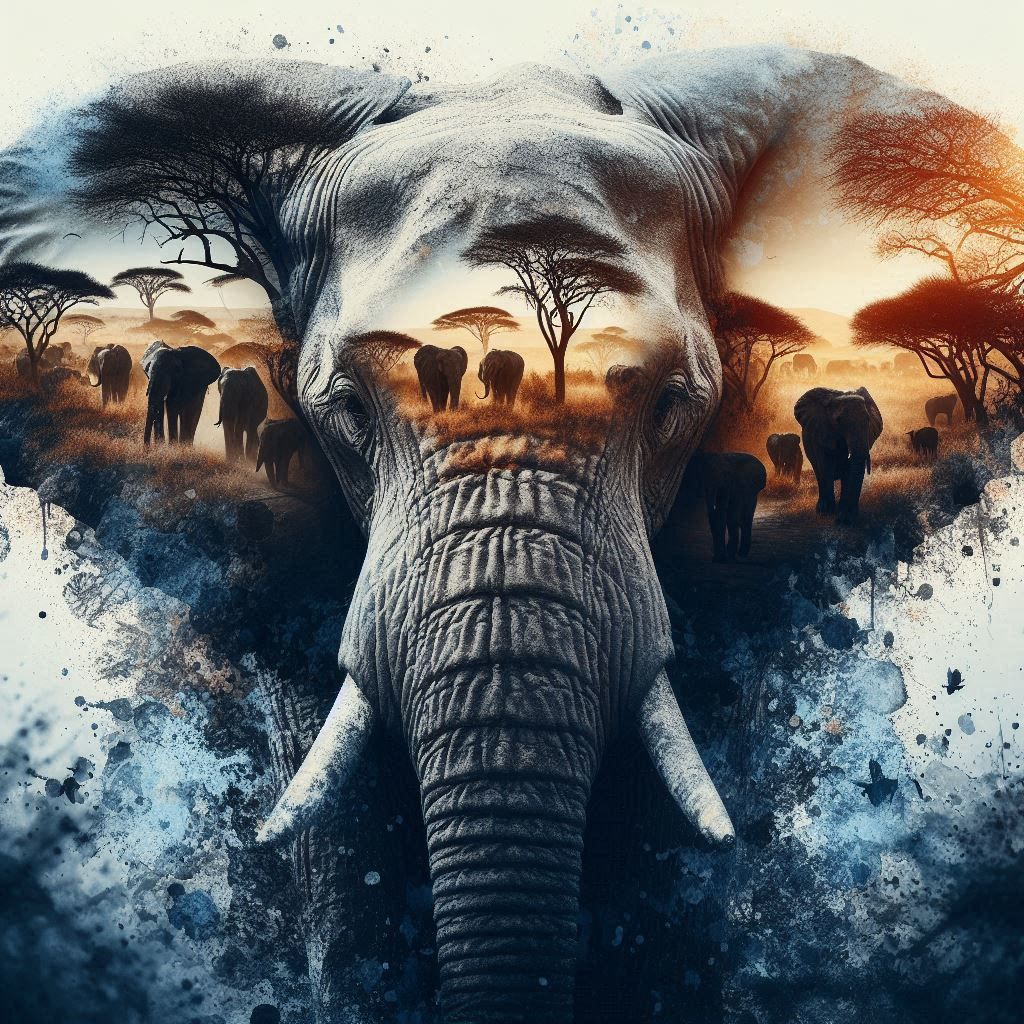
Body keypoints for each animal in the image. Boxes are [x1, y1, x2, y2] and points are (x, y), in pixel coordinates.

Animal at [794, 386, 884, 525]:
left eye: (868, 420)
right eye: (838, 421)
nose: (845, 519)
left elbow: (849, 471)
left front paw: (845, 517)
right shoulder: (821, 433)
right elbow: (826, 467)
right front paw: (831, 514)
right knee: (819, 473)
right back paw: (822, 510)